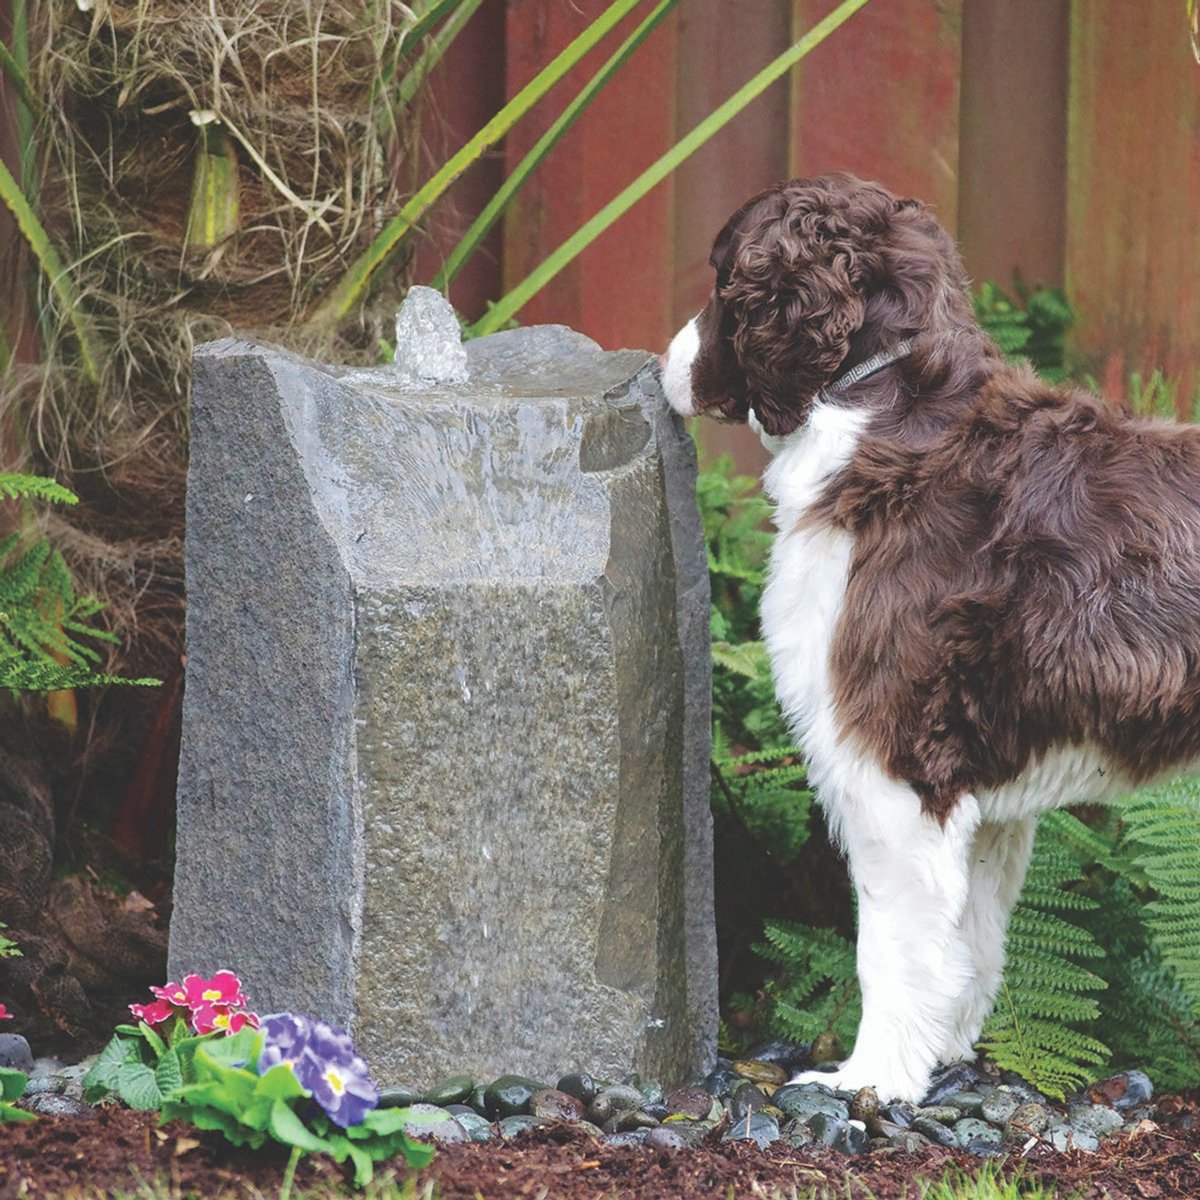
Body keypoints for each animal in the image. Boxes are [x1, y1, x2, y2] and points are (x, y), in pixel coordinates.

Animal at [662, 171, 1200, 1104]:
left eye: (723, 276)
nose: (660, 363)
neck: (883, 402)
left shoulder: (895, 763)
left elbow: (894, 947)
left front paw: (870, 1080)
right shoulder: (985, 799)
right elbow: (968, 942)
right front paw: (939, 1058)